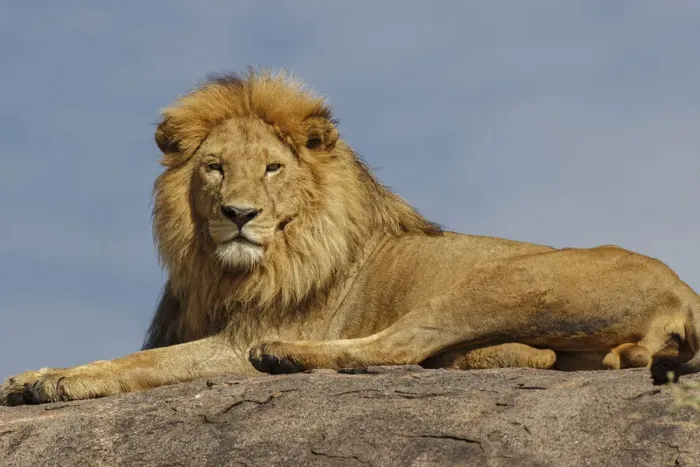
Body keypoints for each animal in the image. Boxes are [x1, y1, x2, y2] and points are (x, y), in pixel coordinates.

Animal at [2, 69, 698, 406]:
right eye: (214, 167)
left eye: (272, 168)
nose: (238, 214)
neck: (226, 270)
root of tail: (685, 294)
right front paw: (31, 376)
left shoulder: (236, 341)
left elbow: (144, 363)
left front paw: (58, 381)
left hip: (503, 279)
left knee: (400, 345)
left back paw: (285, 358)